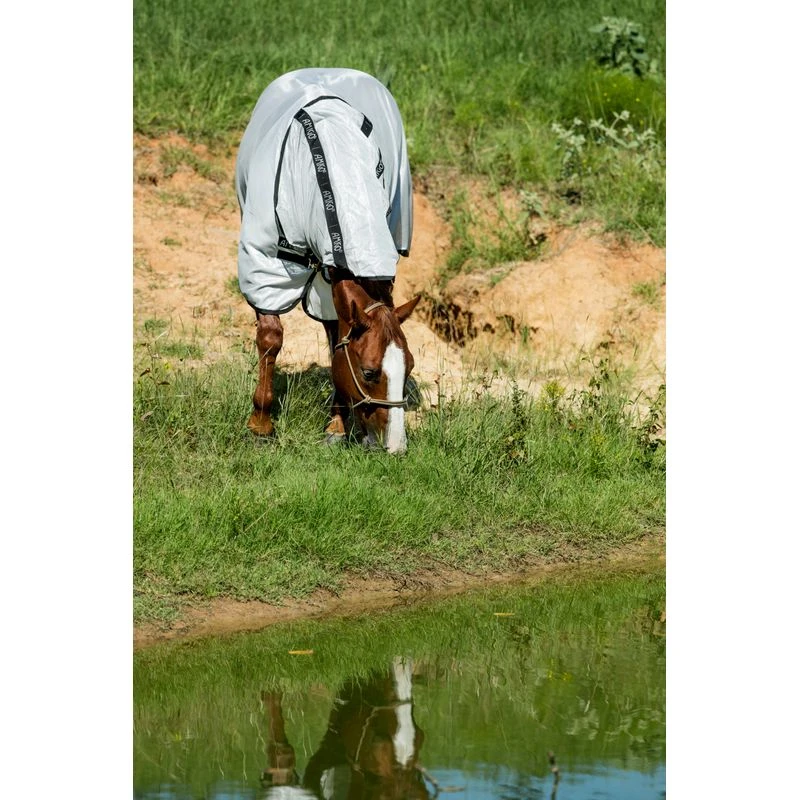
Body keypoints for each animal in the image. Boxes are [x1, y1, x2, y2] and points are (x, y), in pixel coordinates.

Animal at [236, 68, 420, 454]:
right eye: (369, 372)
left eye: (409, 367)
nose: (396, 447)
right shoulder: (265, 264)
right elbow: (271, 337)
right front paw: (260, 424)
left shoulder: (333, 275)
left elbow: (337, 339)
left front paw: (336, 426)